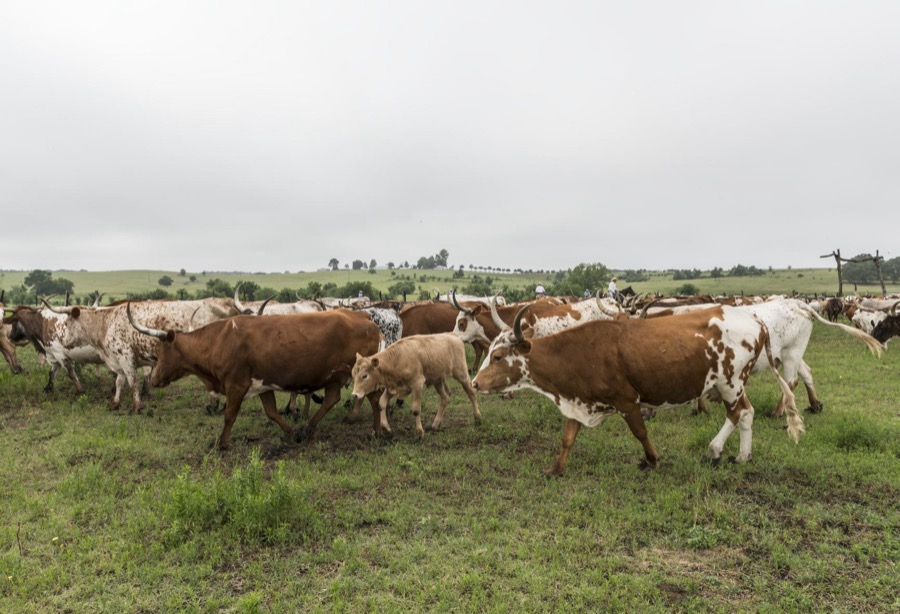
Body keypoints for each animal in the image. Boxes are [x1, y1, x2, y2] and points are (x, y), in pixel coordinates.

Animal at [128, 306, 383, 448]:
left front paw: (221, 443)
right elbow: (272, 412)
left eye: (162, 350)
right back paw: (307, 429)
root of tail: (365, 317)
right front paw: (291, 433)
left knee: (372, 400)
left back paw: (376, 432)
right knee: (332, 399)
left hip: (362, 376)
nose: (154, 380)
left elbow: (229, 415)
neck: (220, 340)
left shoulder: (236, 385)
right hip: (335, 377)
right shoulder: (263, 385)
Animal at [350, 333, 481, 438]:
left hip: (461, 373)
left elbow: (416, 410)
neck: (397, 359)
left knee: (471, 392)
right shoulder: (393, 387)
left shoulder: (417, 385)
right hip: (438, 380)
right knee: (445, 397)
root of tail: (453, 335)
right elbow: (381, 403)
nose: (355, 395)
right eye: (353, 375)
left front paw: (419, 433)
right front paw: (386, 428)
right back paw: (435, 425)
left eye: (364, 376)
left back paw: (478, 418)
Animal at [471, 305, 805, 477]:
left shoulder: (627, 400)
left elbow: (640, 432)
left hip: (730, 382)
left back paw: (714, 449)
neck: (578, 352)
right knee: (746, 413)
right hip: (731, 384)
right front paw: (555, 468)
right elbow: (568, 437)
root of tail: (756, 319)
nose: (475, 383)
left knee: (738, 413)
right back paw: (742, 455)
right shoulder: (578, 400)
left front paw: (652, 460)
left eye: (498, 357)